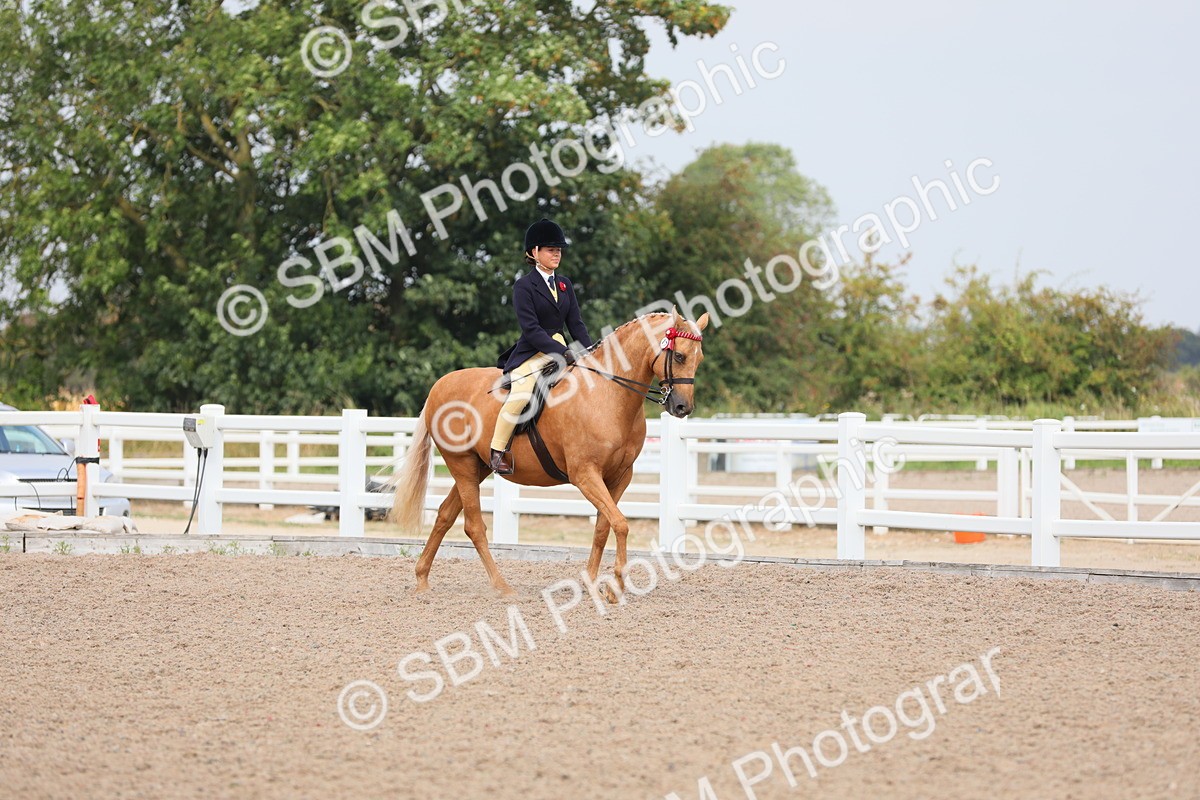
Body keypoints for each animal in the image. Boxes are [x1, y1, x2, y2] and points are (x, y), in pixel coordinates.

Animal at [386, 309, 709, 599]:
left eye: (699, 359)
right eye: (679, 357)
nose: (682, 407)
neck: (607, 394)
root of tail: (440, 385)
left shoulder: (620, 476)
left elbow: (603, 527)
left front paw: (591, 583)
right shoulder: (585, 474)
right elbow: (620, 523)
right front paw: (615, 585)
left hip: (478, 467)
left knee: (444, 515)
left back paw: (422, 579)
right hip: (461, 463)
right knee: (473, 525)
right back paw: (502, 587)